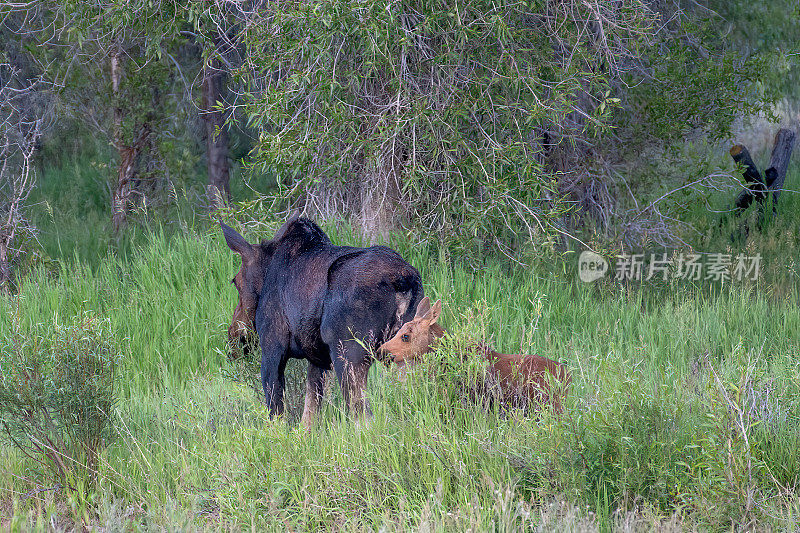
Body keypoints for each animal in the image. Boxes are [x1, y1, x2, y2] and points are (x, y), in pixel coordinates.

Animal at [222, 214, 424, 426]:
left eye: (235, 281)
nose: (233, 334)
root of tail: (403, 280)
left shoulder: (272, 349)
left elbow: (276, 414)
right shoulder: (317, 358)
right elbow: (308, 417)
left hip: (349, 354)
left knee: (363, 416)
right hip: (405, 352)